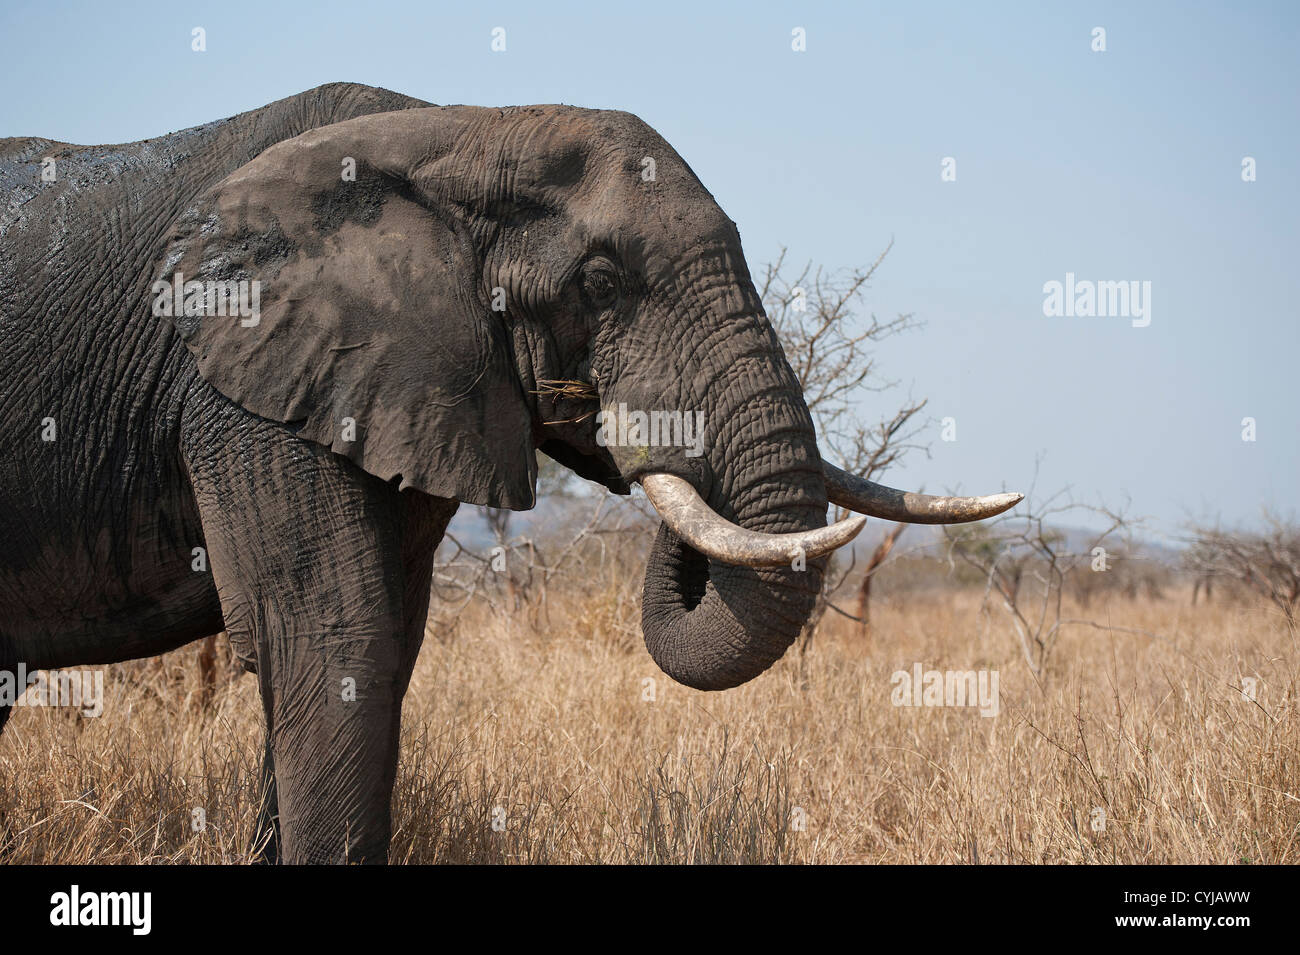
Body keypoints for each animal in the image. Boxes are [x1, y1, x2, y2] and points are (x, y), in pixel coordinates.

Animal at [0, 85, 1013, 862]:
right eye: (600, 284)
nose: (653, 445)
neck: (461, 129)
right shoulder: (241, 384)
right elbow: (332, 638)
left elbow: (387, 645)